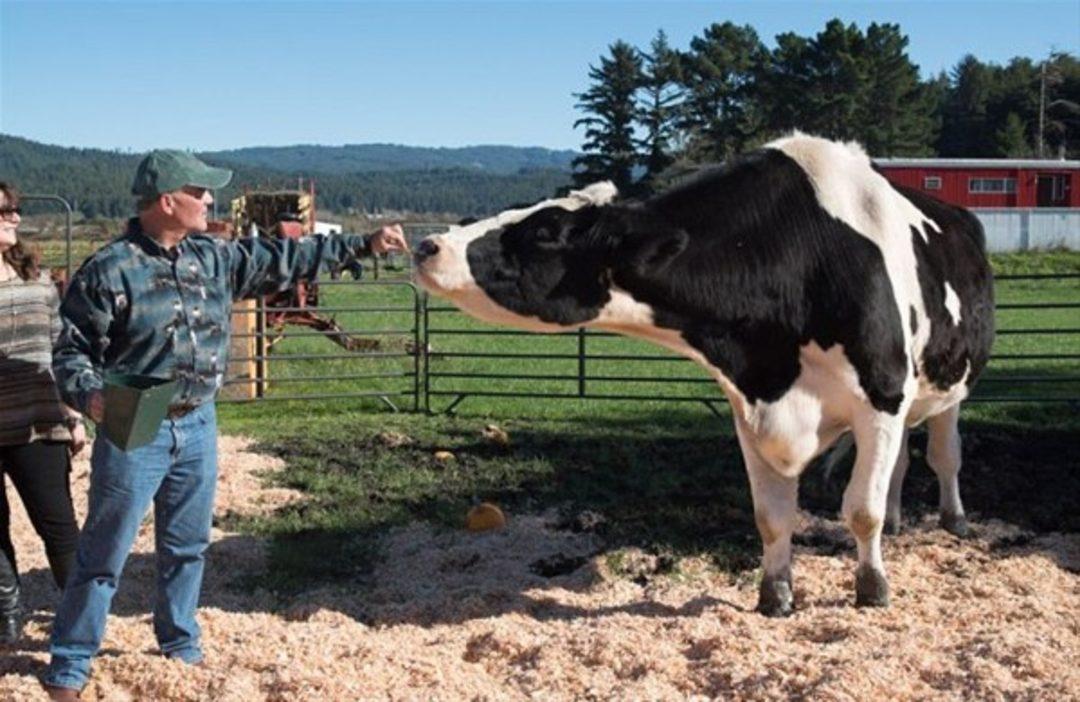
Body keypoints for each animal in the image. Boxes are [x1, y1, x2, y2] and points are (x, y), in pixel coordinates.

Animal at [412, 131, 993, 613]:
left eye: (546, 229)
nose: (426, 245)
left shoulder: (881, 395)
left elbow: (860, 509)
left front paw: (872, 591)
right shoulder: (750, 405)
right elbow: (772, 515)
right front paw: (775, 596)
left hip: (946, 388)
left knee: (943, 455)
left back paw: (954, 518)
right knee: (900, 464)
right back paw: (897, 521)